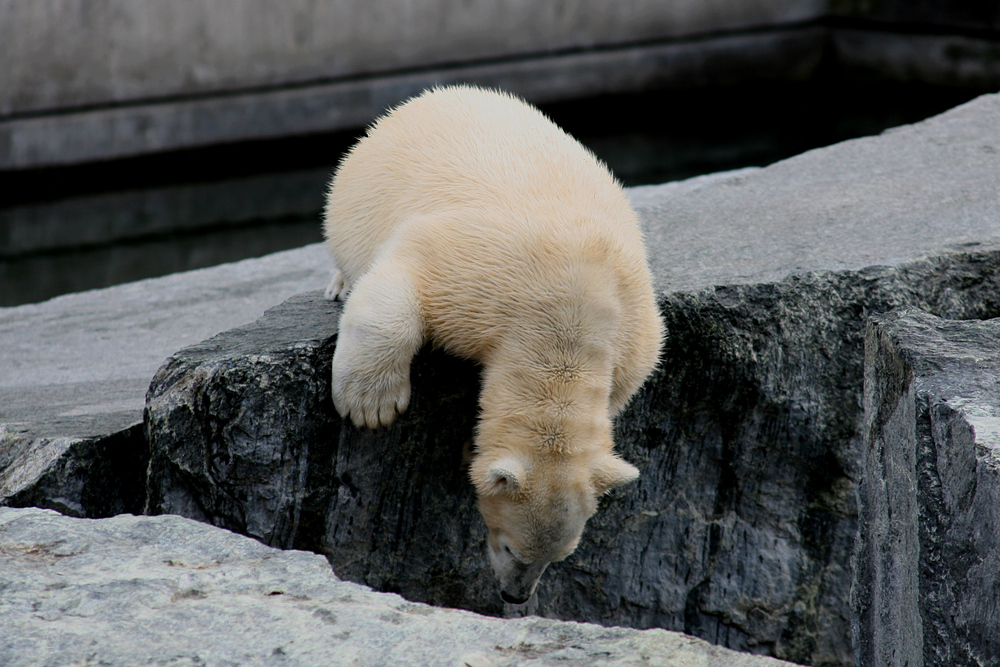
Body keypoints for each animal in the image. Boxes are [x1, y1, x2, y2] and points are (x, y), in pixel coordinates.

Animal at [322, 83, 664, 604]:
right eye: (510, 548)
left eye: (559, 558)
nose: (515, 596)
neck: (572, 309)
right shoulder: (477, 275)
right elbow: (402, 283)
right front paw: (372, 406)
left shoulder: (633, 332)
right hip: (358, 185)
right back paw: (339, 282)